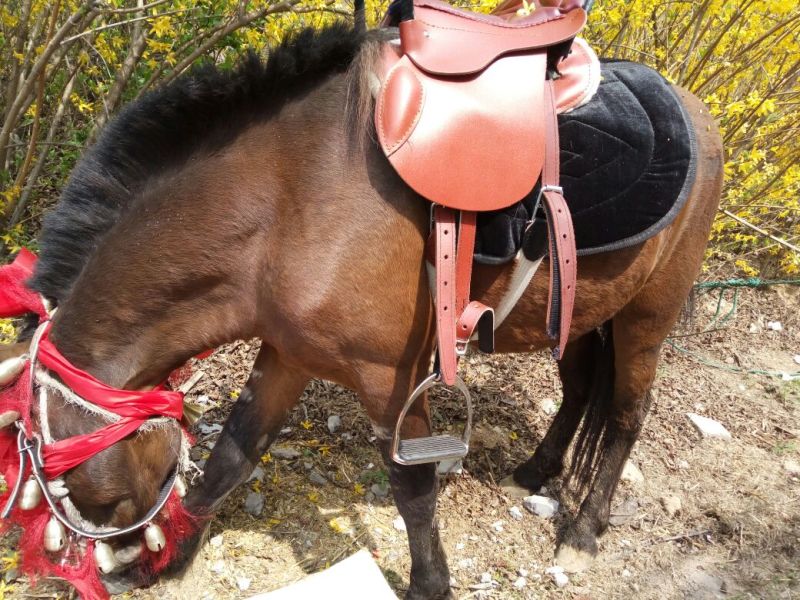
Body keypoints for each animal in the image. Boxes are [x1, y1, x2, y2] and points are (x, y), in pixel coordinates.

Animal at [0, 24, 722, 599]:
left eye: (76, 489)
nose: (113, 557)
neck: (285, 199)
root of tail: (693, 107)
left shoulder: (388, 378)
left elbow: (412, 489)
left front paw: (431, 584)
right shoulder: (287, 353)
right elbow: (234, 451)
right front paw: (173, 557)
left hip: (645, 317)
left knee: (627, 414)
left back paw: (586, 527)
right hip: (579, 310)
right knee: (576, 392)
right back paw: (539, 470)